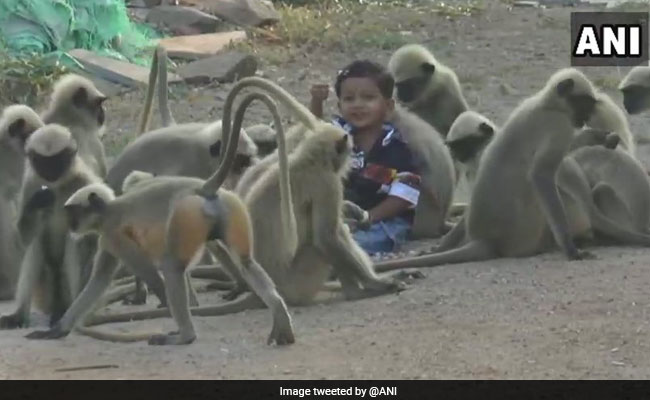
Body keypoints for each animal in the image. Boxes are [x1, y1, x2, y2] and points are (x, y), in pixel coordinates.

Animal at [22, 80, 296, 344]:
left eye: (72, 212)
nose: (70, 223)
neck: (109, 208)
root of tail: (201, 188)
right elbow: (99, 280)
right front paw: (59, 330)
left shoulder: (112, 232)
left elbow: (149, 272)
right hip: (229, 207)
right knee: (247, 261)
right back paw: (278, 315)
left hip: (186, 216)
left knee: (172, 266)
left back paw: (186, 334)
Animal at [372, 69, 650, 276]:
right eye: (583, 102)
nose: (584, 116)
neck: (546, 103)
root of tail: (487, 239)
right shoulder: (559, 125)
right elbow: (541, 174)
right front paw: (571, 251)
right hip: (526, 230)